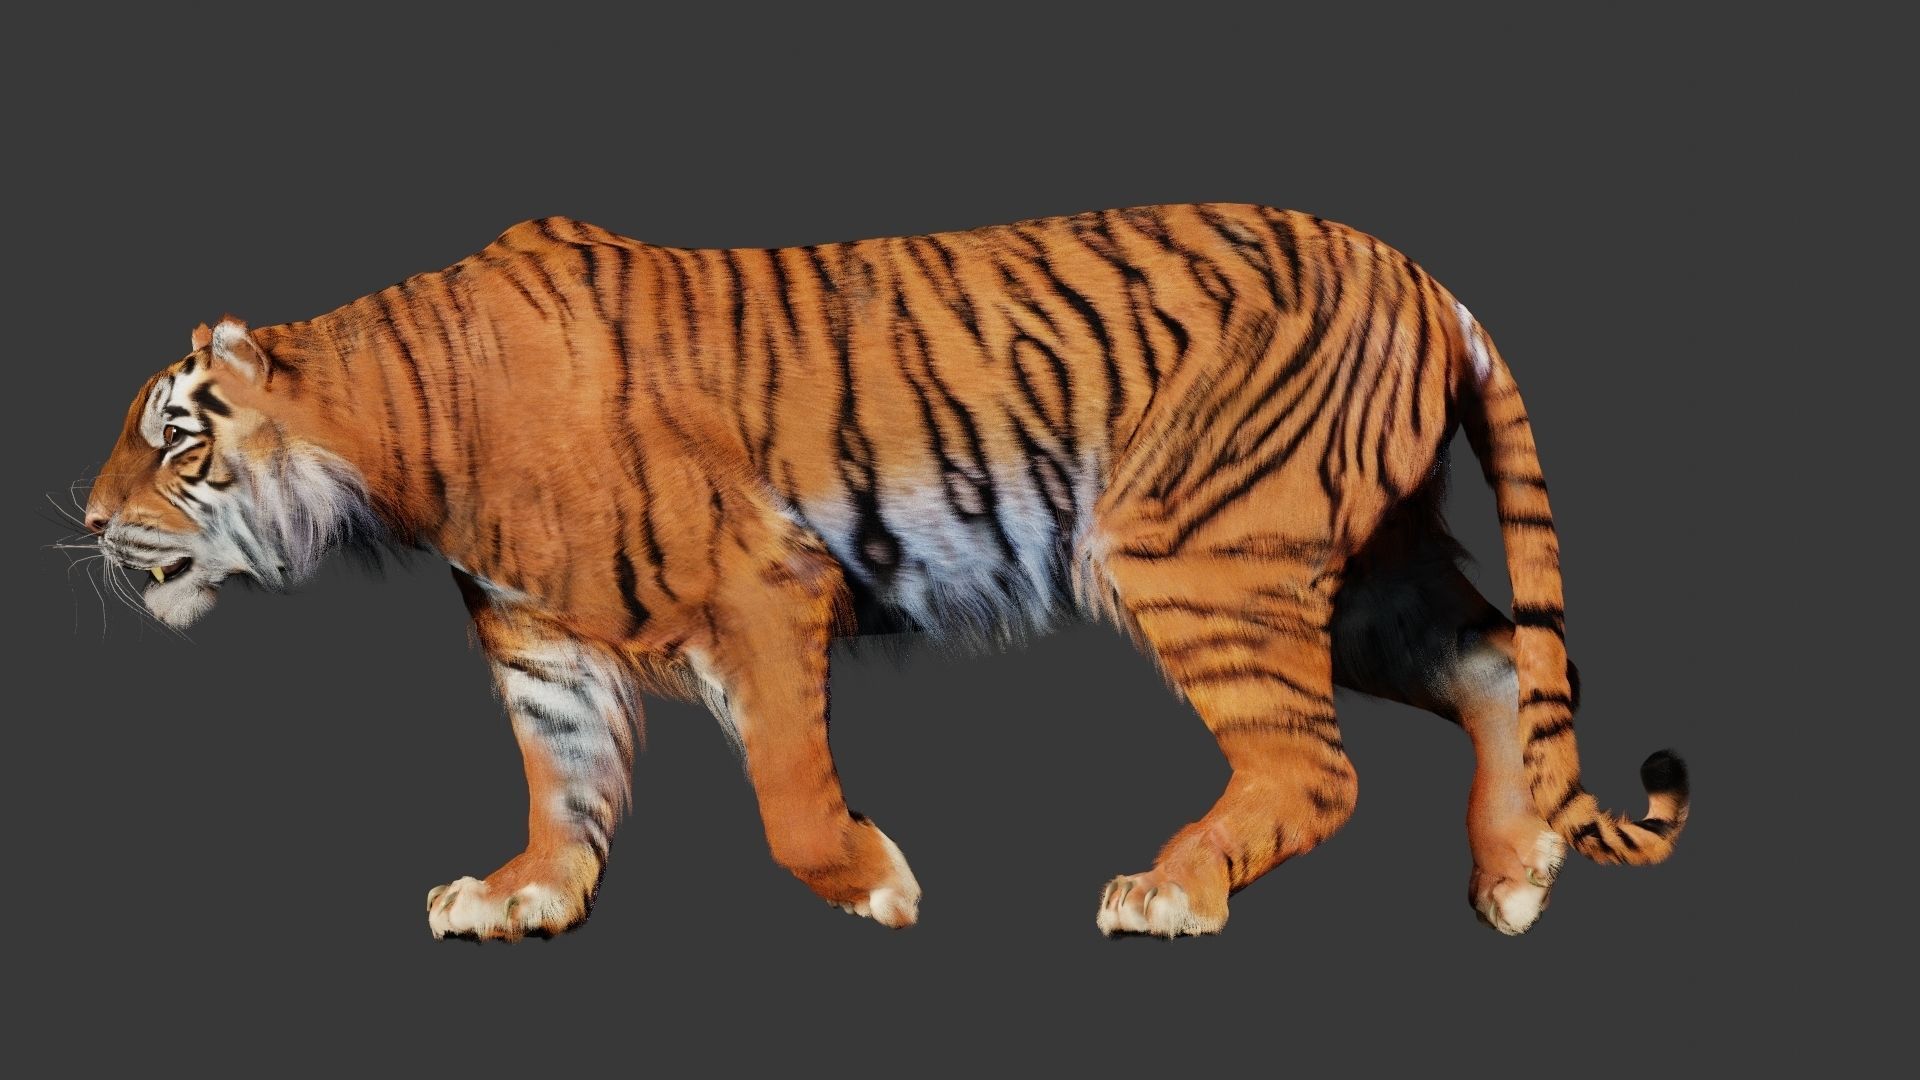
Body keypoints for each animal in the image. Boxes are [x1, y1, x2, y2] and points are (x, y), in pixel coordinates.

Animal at [79, 203, 1688, 940]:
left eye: (175, 444)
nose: (90, 524)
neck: (402, 436)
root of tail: (1429, 278)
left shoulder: (763, 583)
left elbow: (791, 792)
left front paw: (874, 883)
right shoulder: (539, 643)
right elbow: (561, 782)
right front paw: (522, 895)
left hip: (1198, 549)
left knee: (1315, 765)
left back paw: (1170, 893)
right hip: (1356, 571)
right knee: (1499, 662)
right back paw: (1515, 878)